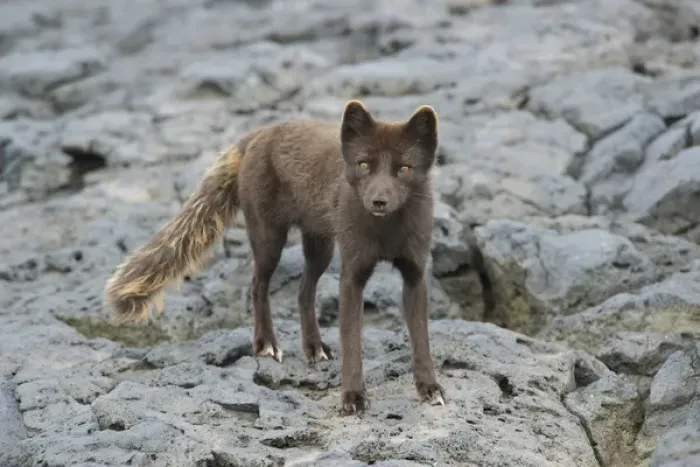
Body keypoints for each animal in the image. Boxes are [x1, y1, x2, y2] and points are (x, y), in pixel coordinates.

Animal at [104, 99, 493, 414]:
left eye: (404, 169)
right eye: (365, 165)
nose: (379, 201)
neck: (386, 233)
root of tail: (258, 133)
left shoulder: (414, 273)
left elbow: (421, 338)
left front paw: (430, 388)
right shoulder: (352, 275)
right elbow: (352, 341)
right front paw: (353, 398)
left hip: (321, 246)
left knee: (304, 291)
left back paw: (314, 348)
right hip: (270, 239)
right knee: (257, 284)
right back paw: (266, 345)